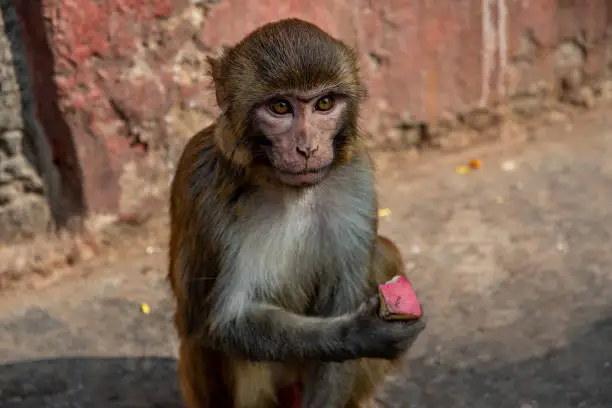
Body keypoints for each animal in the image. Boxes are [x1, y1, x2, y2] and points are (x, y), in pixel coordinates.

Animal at [167, 17, 426, 406]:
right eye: (279, 108)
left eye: (324, 103)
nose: (307, 148)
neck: (289, 188)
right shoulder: (208, 193)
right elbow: (227, 322)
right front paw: (362, 334)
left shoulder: (356, 179)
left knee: (382, 254)